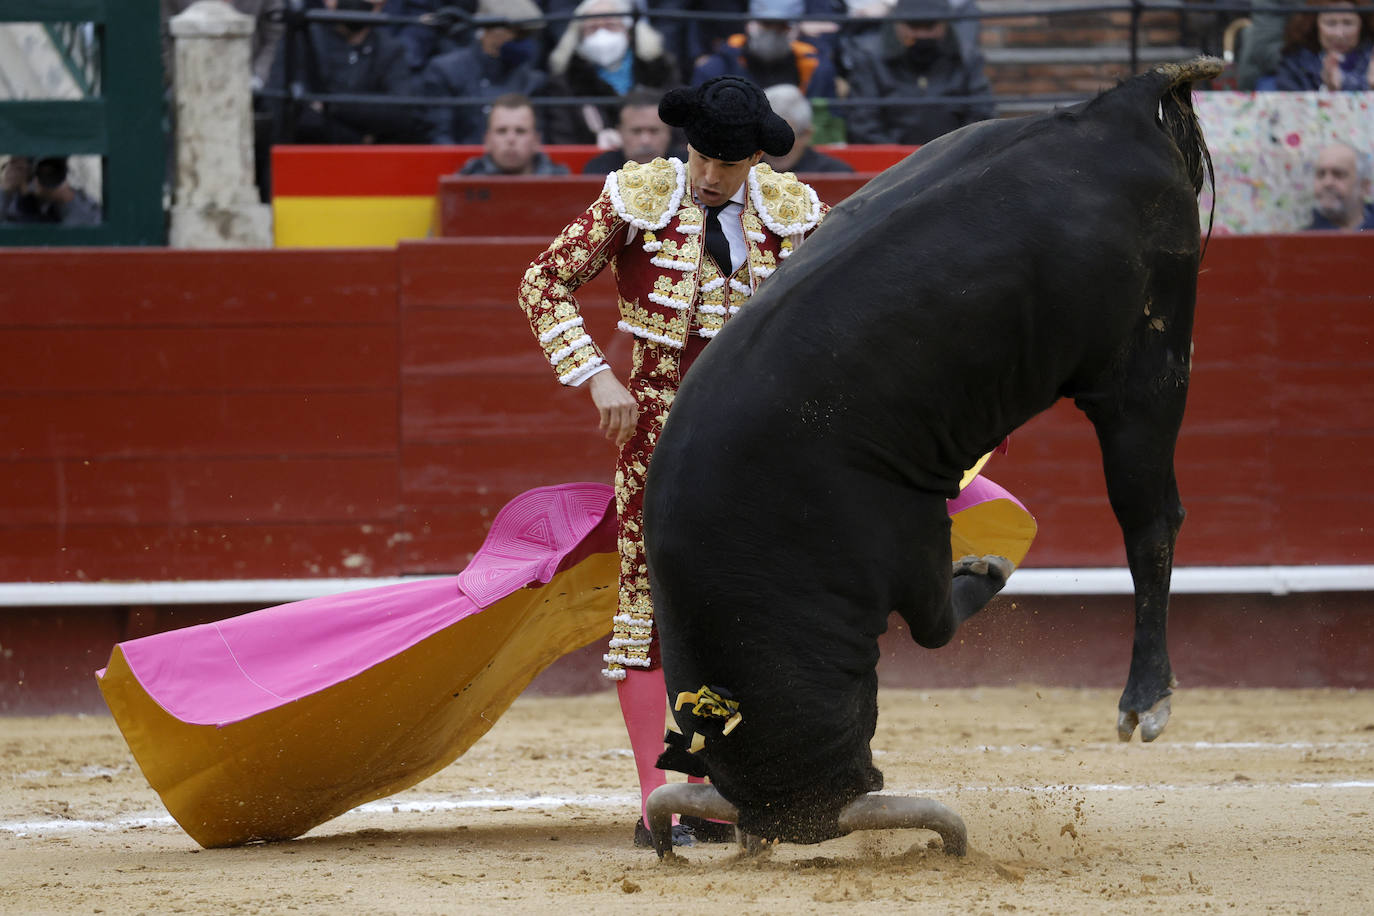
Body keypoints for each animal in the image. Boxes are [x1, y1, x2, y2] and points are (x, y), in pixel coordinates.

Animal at [643, 57, 1225, 851]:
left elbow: (934, 626)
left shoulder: (904, 533)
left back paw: (1146, 699)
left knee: (1150, 518)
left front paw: (988, 567)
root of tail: (1117, 105)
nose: (819, 808)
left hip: (1144, 370)